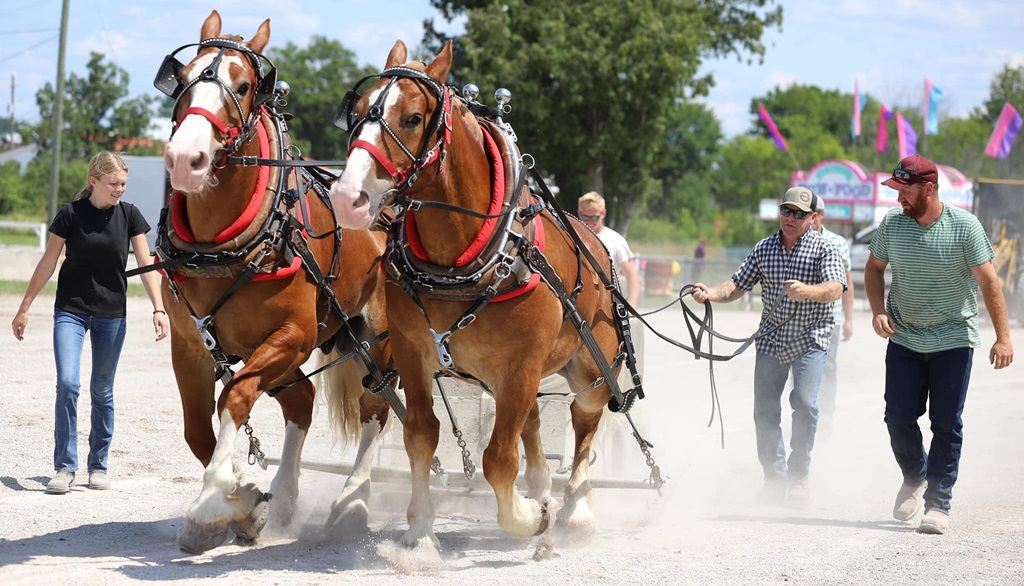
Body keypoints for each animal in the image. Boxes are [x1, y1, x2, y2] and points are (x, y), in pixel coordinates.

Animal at [155, 10, 398, 553]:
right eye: (183, 79)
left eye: (244, 85)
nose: (185, 158)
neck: (220, 246)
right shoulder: (189, 344)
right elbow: (197, 430)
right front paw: (243, 499)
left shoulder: (294, 336)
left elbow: (234, 398)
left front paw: (211, 506)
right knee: (301, 400)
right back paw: (284, 499)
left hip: (378, 339)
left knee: (376, 406)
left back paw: (352, 503)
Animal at [330, 40, 636, 553]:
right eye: (356, 111)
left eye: (413, 117)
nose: (347, 196)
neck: (460, 261)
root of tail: (595, 242)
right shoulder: (413, 353)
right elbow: (420, 435)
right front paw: (420, 534)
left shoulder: (520, 366)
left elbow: (498, 460)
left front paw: (530, 518)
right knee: (532, 424)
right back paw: (541, 487)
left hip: (590, 368)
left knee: (584, 420)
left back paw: (575, 508)